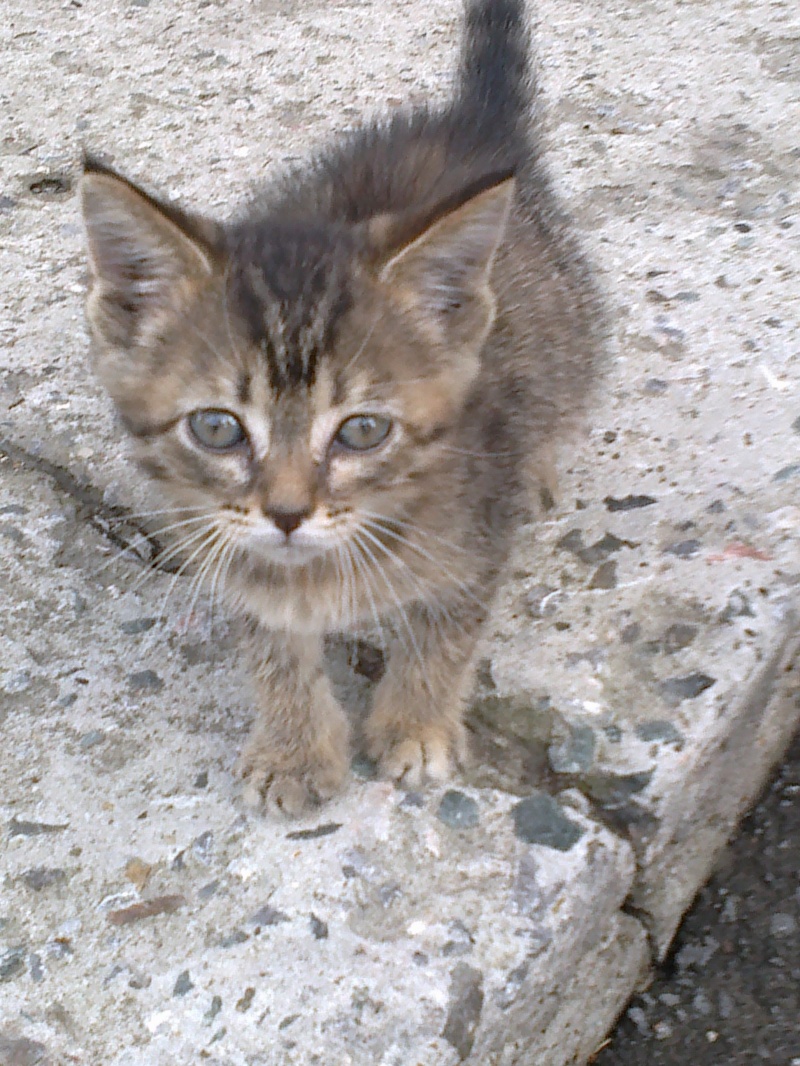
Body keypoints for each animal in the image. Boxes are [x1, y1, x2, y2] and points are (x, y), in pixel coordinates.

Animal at [80, 0, 606, 814]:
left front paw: (416, 723)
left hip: (566, 326)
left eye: (362, 431)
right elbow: (273, 646)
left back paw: (540, 465)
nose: (288, 513)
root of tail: (471, 123)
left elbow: (444, 633)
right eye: (216, 428)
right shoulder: (230, 546)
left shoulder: (477, 540)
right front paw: (295, 746)